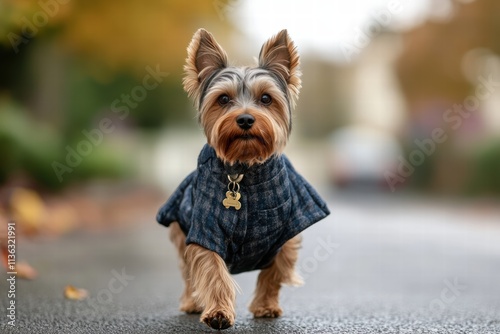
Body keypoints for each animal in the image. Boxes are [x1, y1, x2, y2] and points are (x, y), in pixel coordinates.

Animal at [156, 28, 328, 328]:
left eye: (266, 99)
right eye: (223, 99)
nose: (246, 119)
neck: (243, 168)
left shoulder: (286, 234)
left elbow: (274, 273)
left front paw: (265, 306)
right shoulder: (206, 227)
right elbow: (211, 269)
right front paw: (218, 312)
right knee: (188, 273)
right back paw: (191, 302)